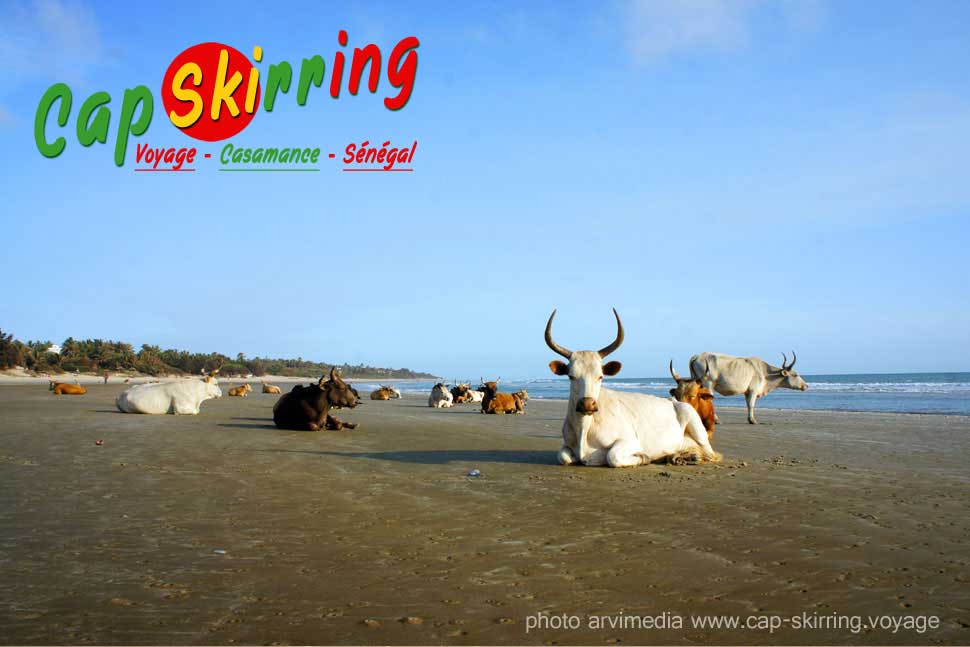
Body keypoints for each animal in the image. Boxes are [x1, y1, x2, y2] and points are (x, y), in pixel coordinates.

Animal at [544, 310, 720, 468]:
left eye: (600, 376)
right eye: (571, 376)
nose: (587, 404)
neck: (585, 427)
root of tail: (673, 401)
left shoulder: (630, 441)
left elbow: (612, 456)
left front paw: (644, 458)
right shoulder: (567, 444)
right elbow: (563, 456)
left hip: (694, 423)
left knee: (711, 454)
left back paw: (691, 457)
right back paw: (674, 457)